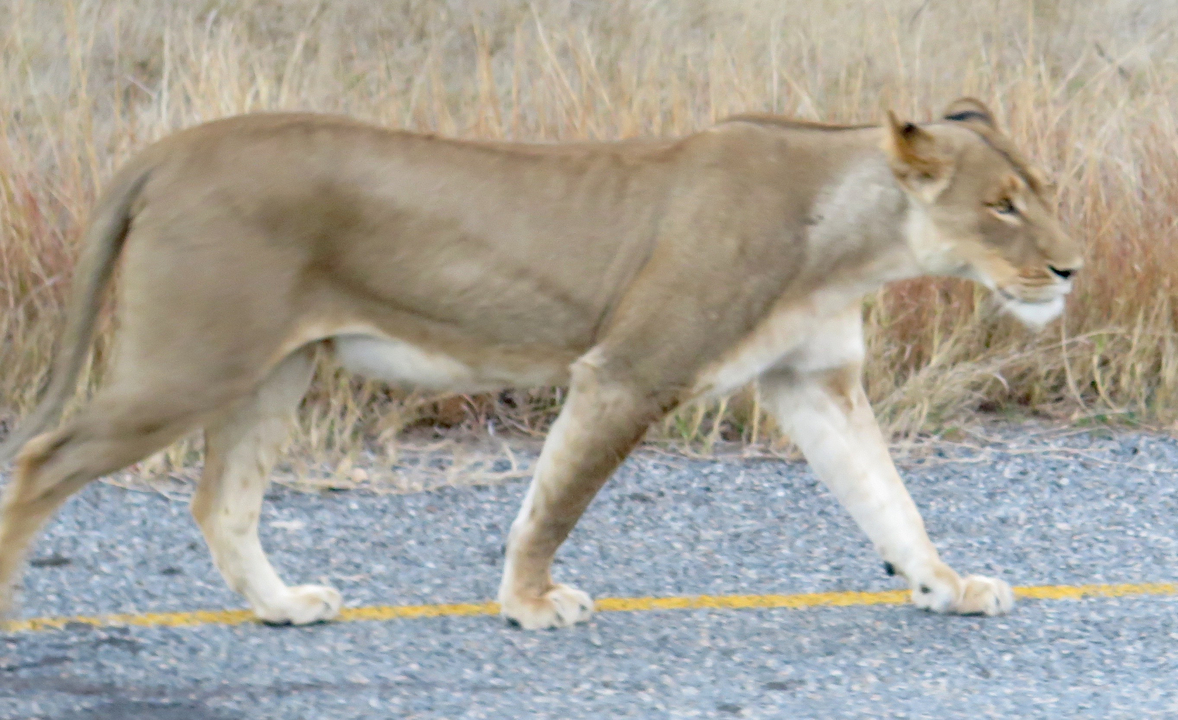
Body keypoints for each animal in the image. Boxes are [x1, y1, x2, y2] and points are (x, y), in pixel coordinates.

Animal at [0, 98, 1080, 629]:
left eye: (1039, 193)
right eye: (1000, 205)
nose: (1070, 268)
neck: (851, 238)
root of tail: (168, 148)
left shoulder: (814, 383)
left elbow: (888, 499)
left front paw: (947, 585)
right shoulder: (630, 369)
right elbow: (553, 501)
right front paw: (528, 605)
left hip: (273, 370)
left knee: (219, 502)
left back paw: (283, 609)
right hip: (191, 360)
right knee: (43, 461)